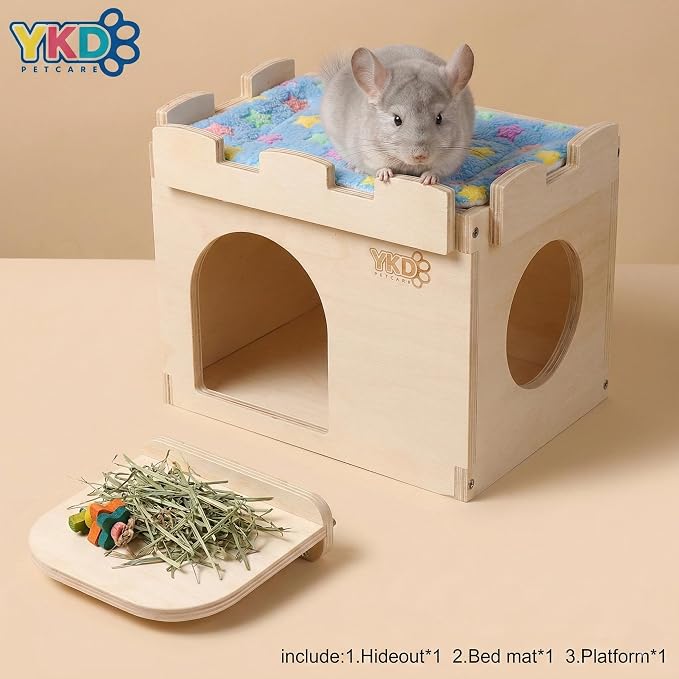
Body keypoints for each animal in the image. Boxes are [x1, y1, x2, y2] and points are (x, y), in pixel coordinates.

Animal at [321, 44, 475, 185]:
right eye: (397, 119)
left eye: (439, 118)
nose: (420, 155)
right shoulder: (370, 154)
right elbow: (379, 167)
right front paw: (384, 174)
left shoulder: (452, 158)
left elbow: (438, 170)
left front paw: (429, 178)